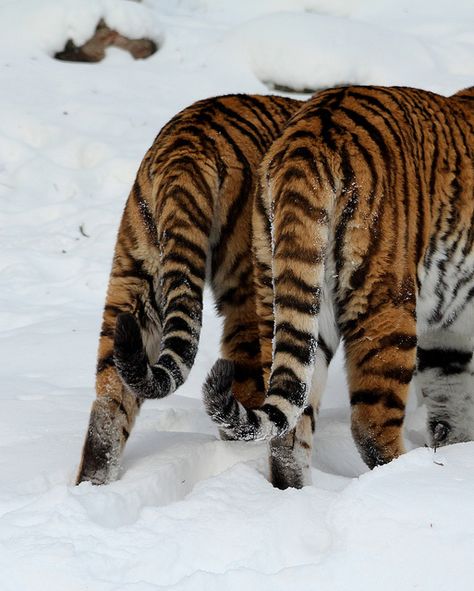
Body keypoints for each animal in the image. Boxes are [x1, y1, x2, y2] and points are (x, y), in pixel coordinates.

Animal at [204, 83, 474, 490]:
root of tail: (310, 136)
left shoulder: (449, 340)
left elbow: (452, 410)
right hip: (384, 305)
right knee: (371, 428)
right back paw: (407, 482)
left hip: (288, 300)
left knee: (288, 433)